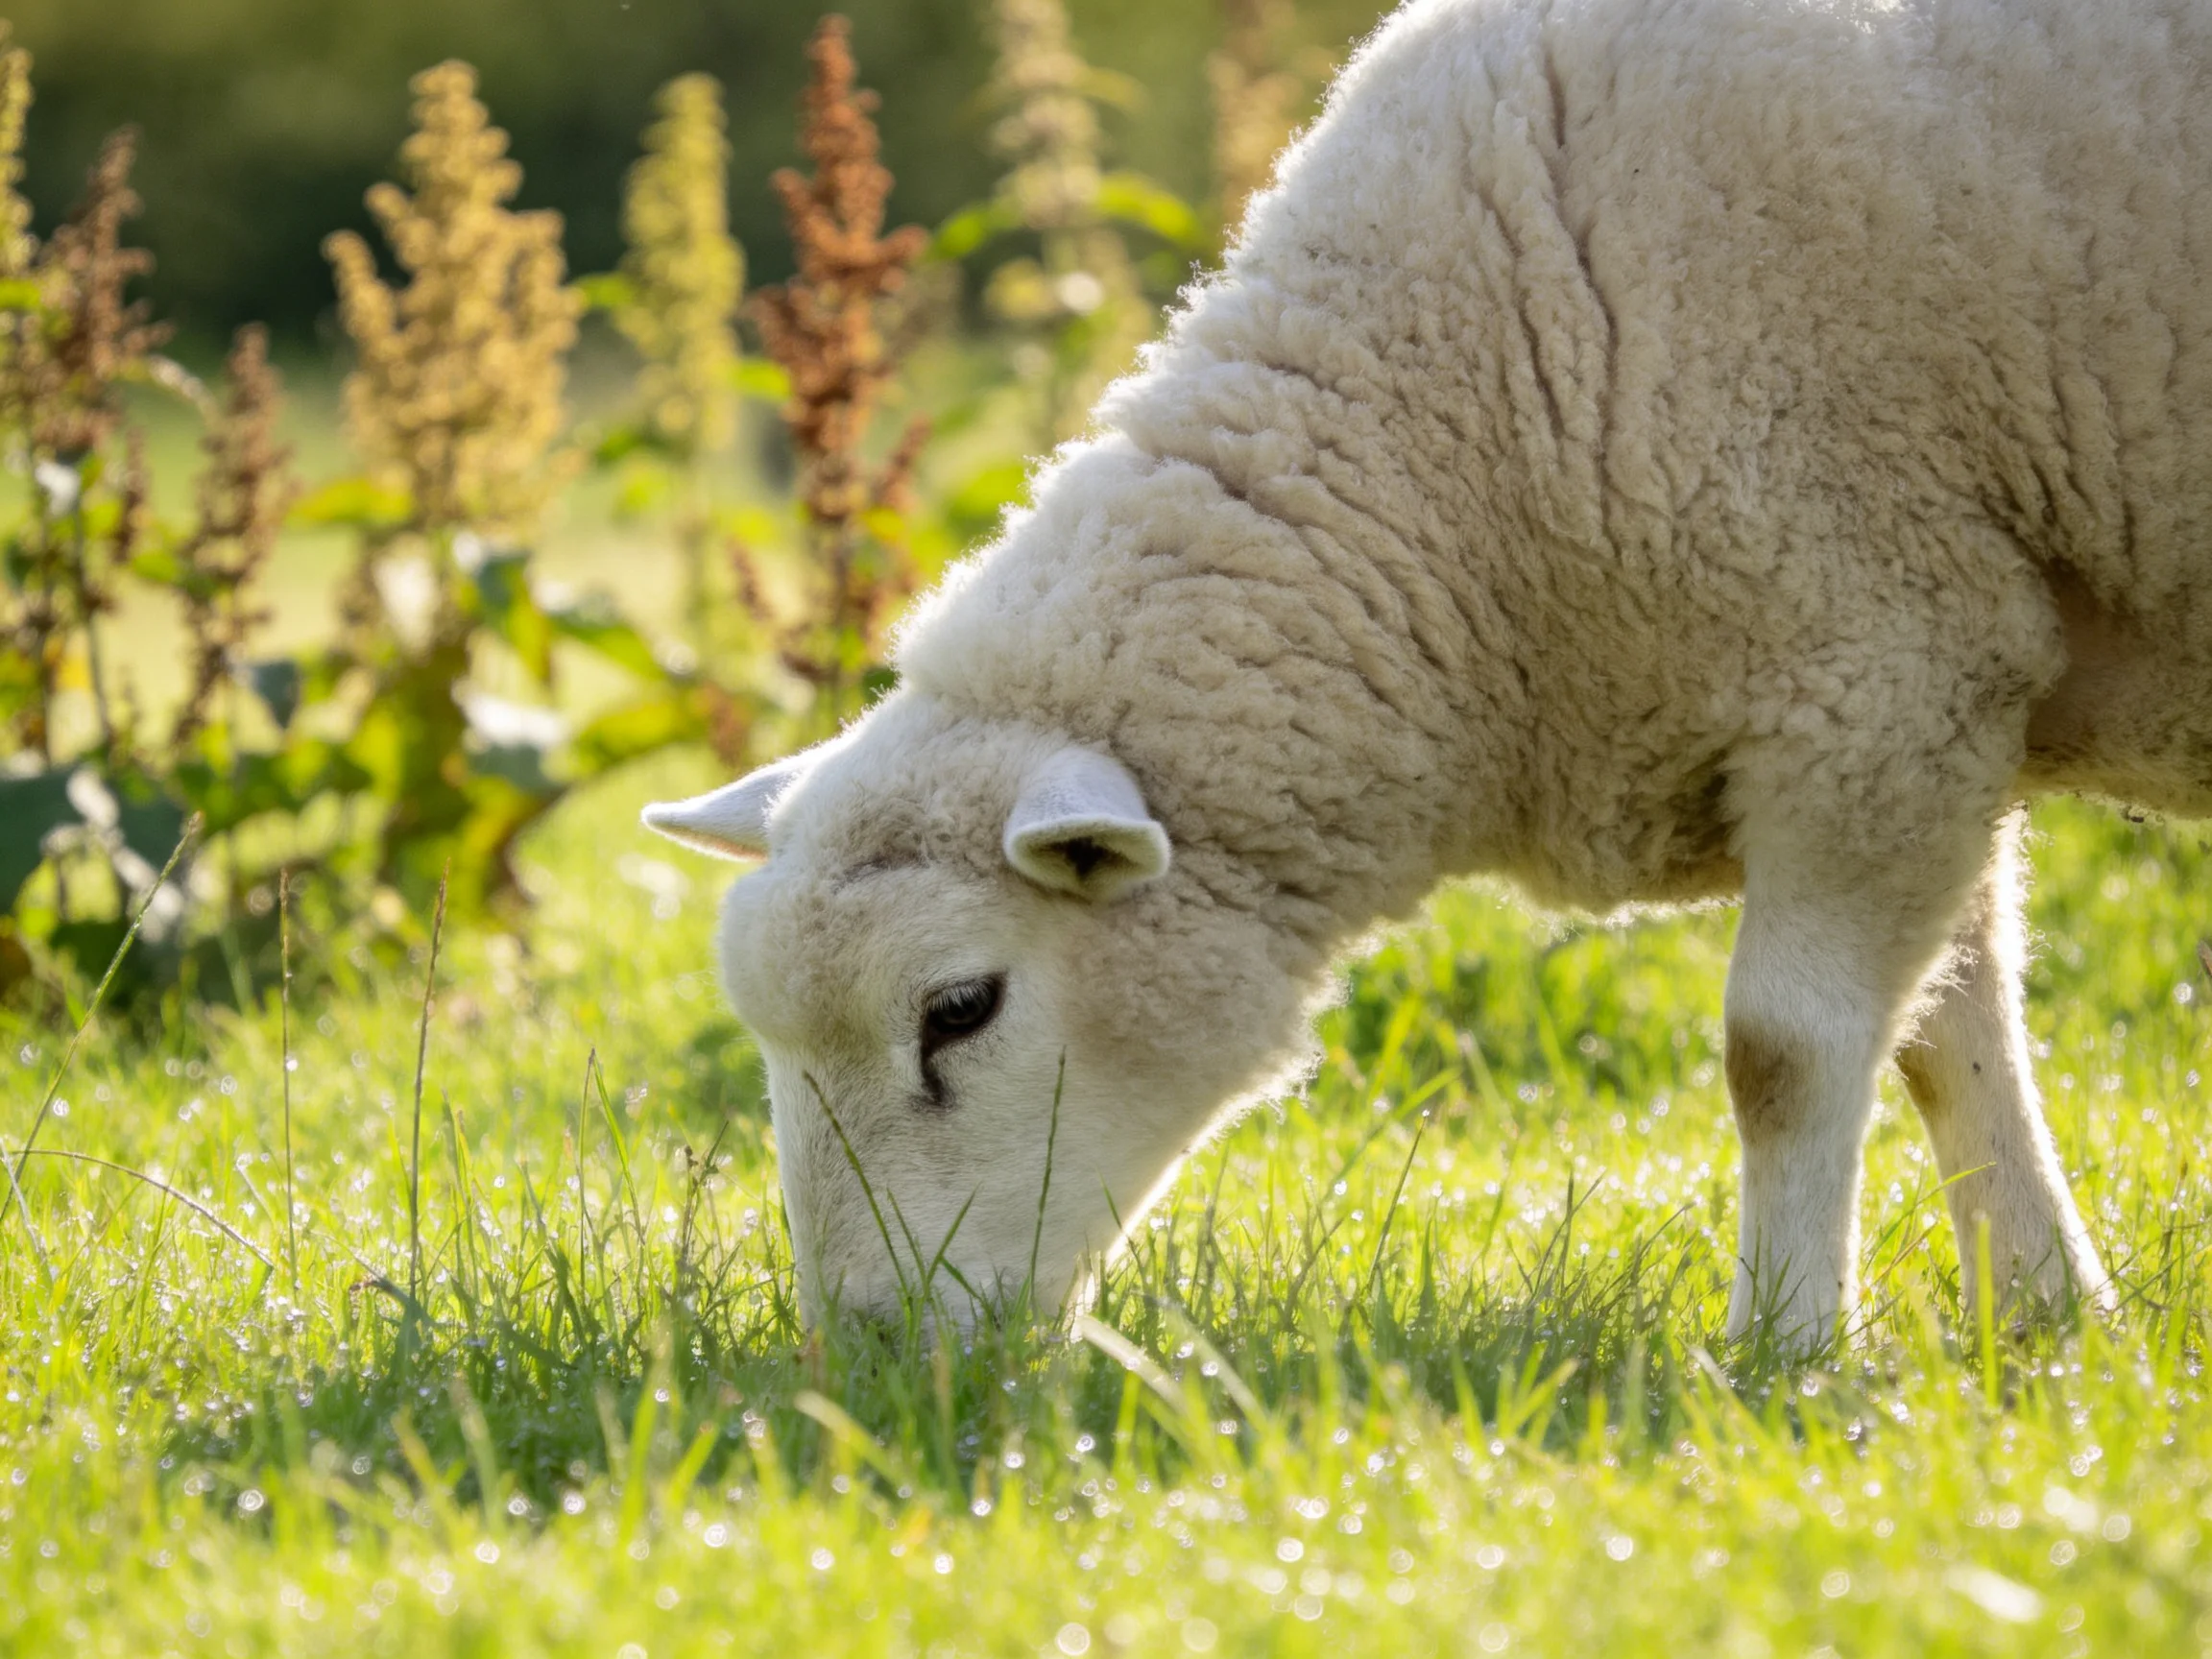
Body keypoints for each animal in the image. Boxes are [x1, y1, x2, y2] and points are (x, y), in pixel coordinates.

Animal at [645, 0, 2212, 1346]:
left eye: (959, 1011)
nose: (870, 1355)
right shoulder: (1928, 707)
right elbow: (1949, 1035)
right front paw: (2048, 1321)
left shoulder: (1879, 669)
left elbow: (1784, 1054)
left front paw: (1785, 1356)